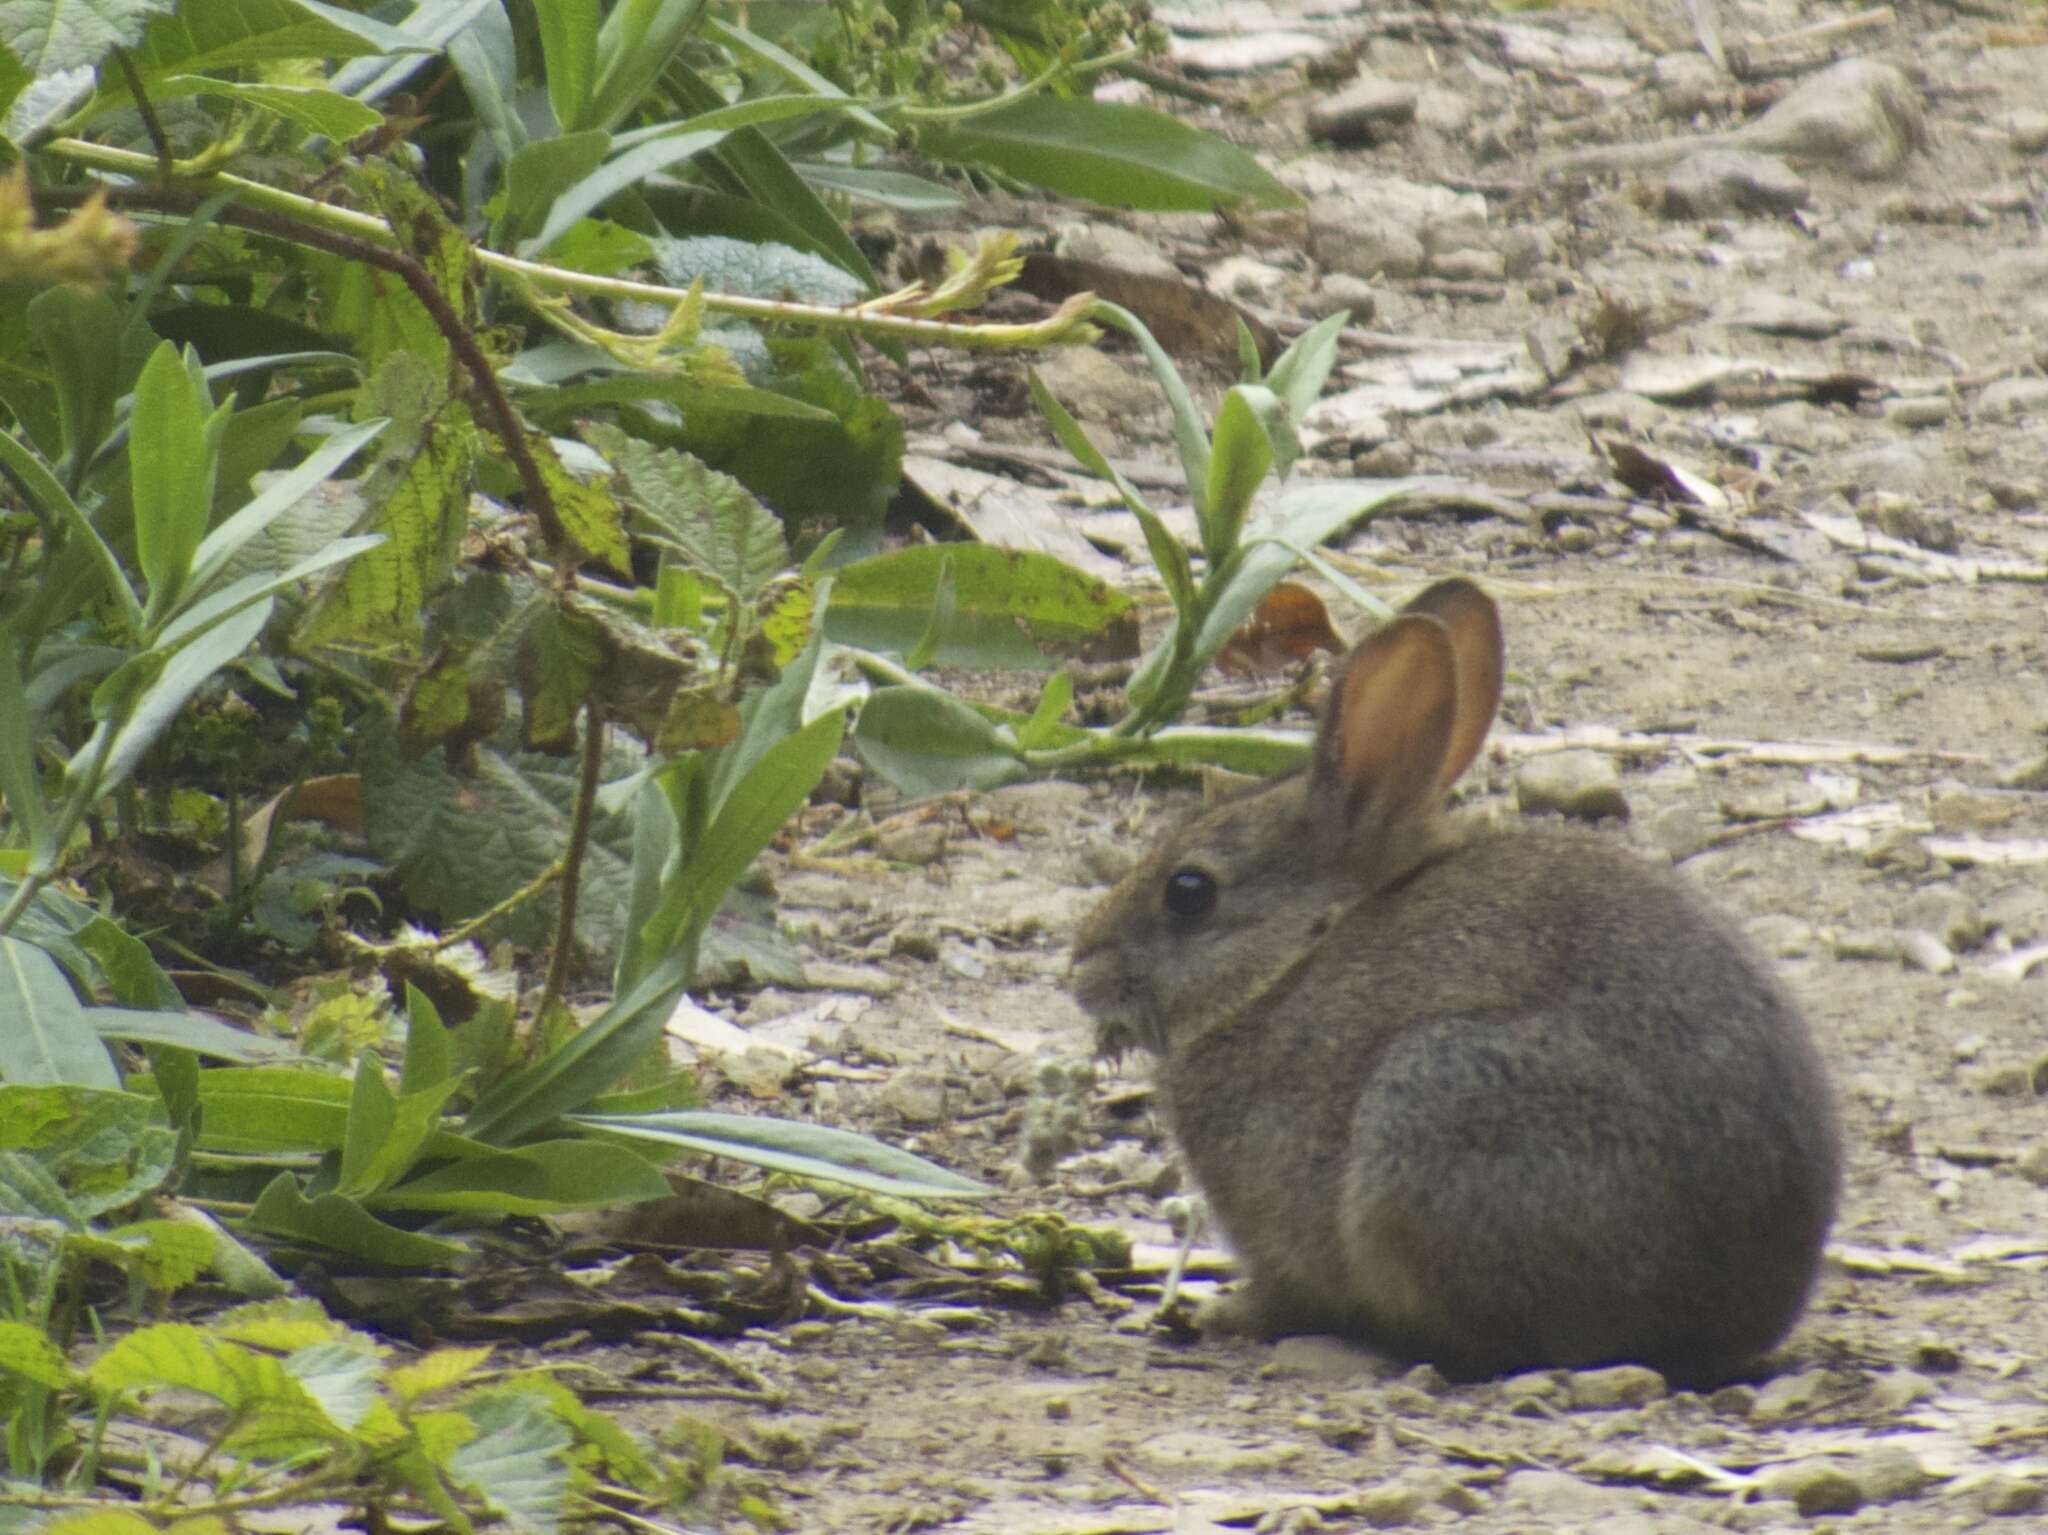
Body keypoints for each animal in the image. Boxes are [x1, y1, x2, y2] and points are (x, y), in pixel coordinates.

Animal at [1073, 581, 1843, 1391]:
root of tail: (1740, 1311)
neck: (1293, 956)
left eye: (1188, 892)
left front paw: (1225, 1311)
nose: (1079, 969)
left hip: (1438, 1105)